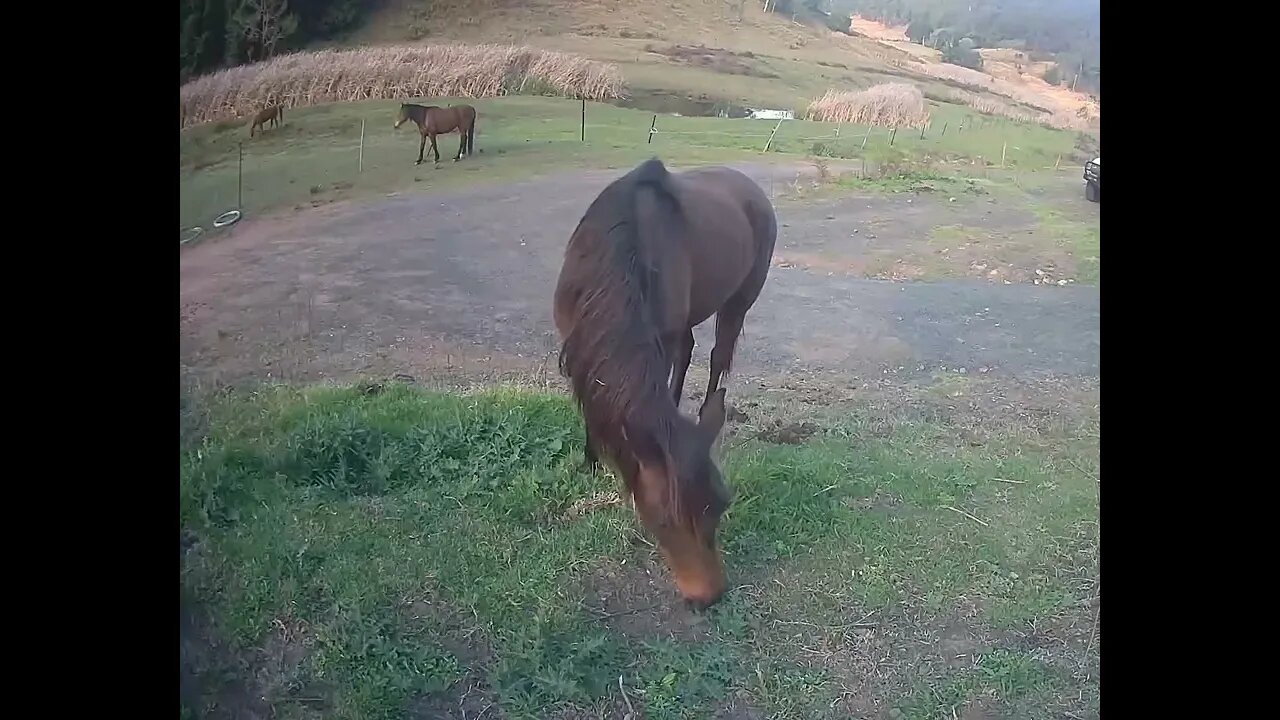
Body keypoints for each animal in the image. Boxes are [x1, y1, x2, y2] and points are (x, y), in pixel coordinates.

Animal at [552, 156, 773, 604]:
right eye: (662, 522)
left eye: (721, 505)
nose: (709, 597)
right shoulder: (577, 343)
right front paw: (589, 461)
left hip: (739, 299)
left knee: (717, 355)